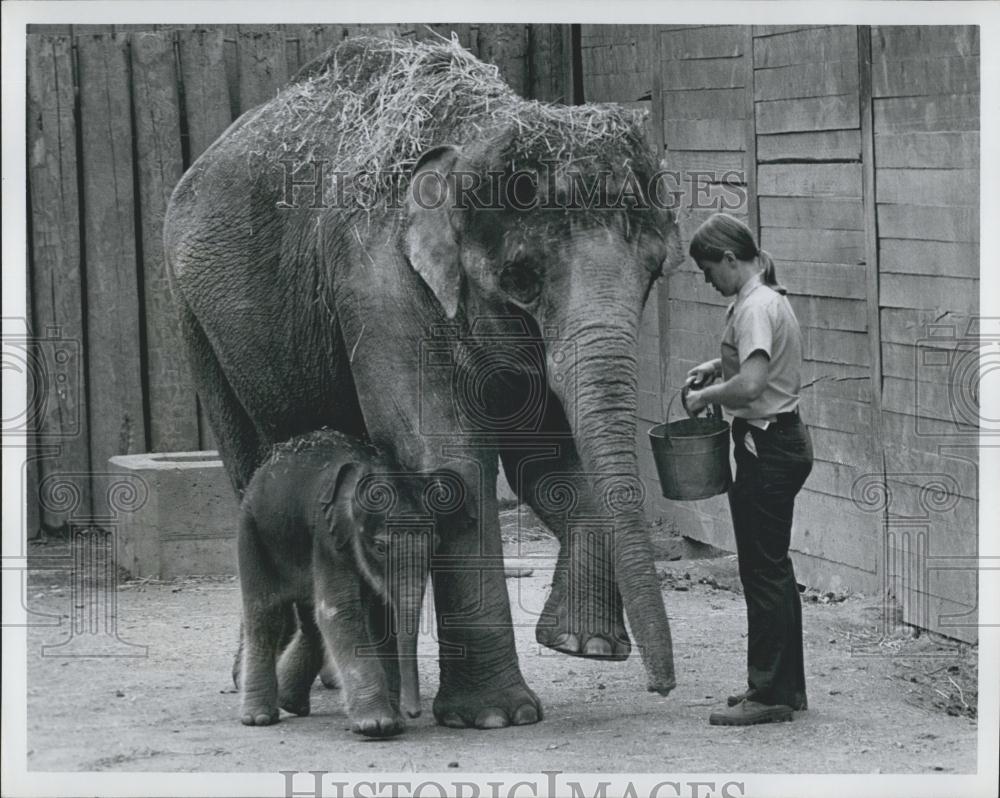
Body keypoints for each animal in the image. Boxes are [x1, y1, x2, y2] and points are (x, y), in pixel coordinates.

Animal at [241, 432, 434, 736]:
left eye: (435, 544)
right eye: (380, 547)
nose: (414, 713)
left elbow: (379, 617)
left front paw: (394, 722)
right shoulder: (328, 536)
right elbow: (339, 611)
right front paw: (377, 725)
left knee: (310, 621)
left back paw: (290, 703)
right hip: (252, 532)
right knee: (265, 613)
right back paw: (259, 718)